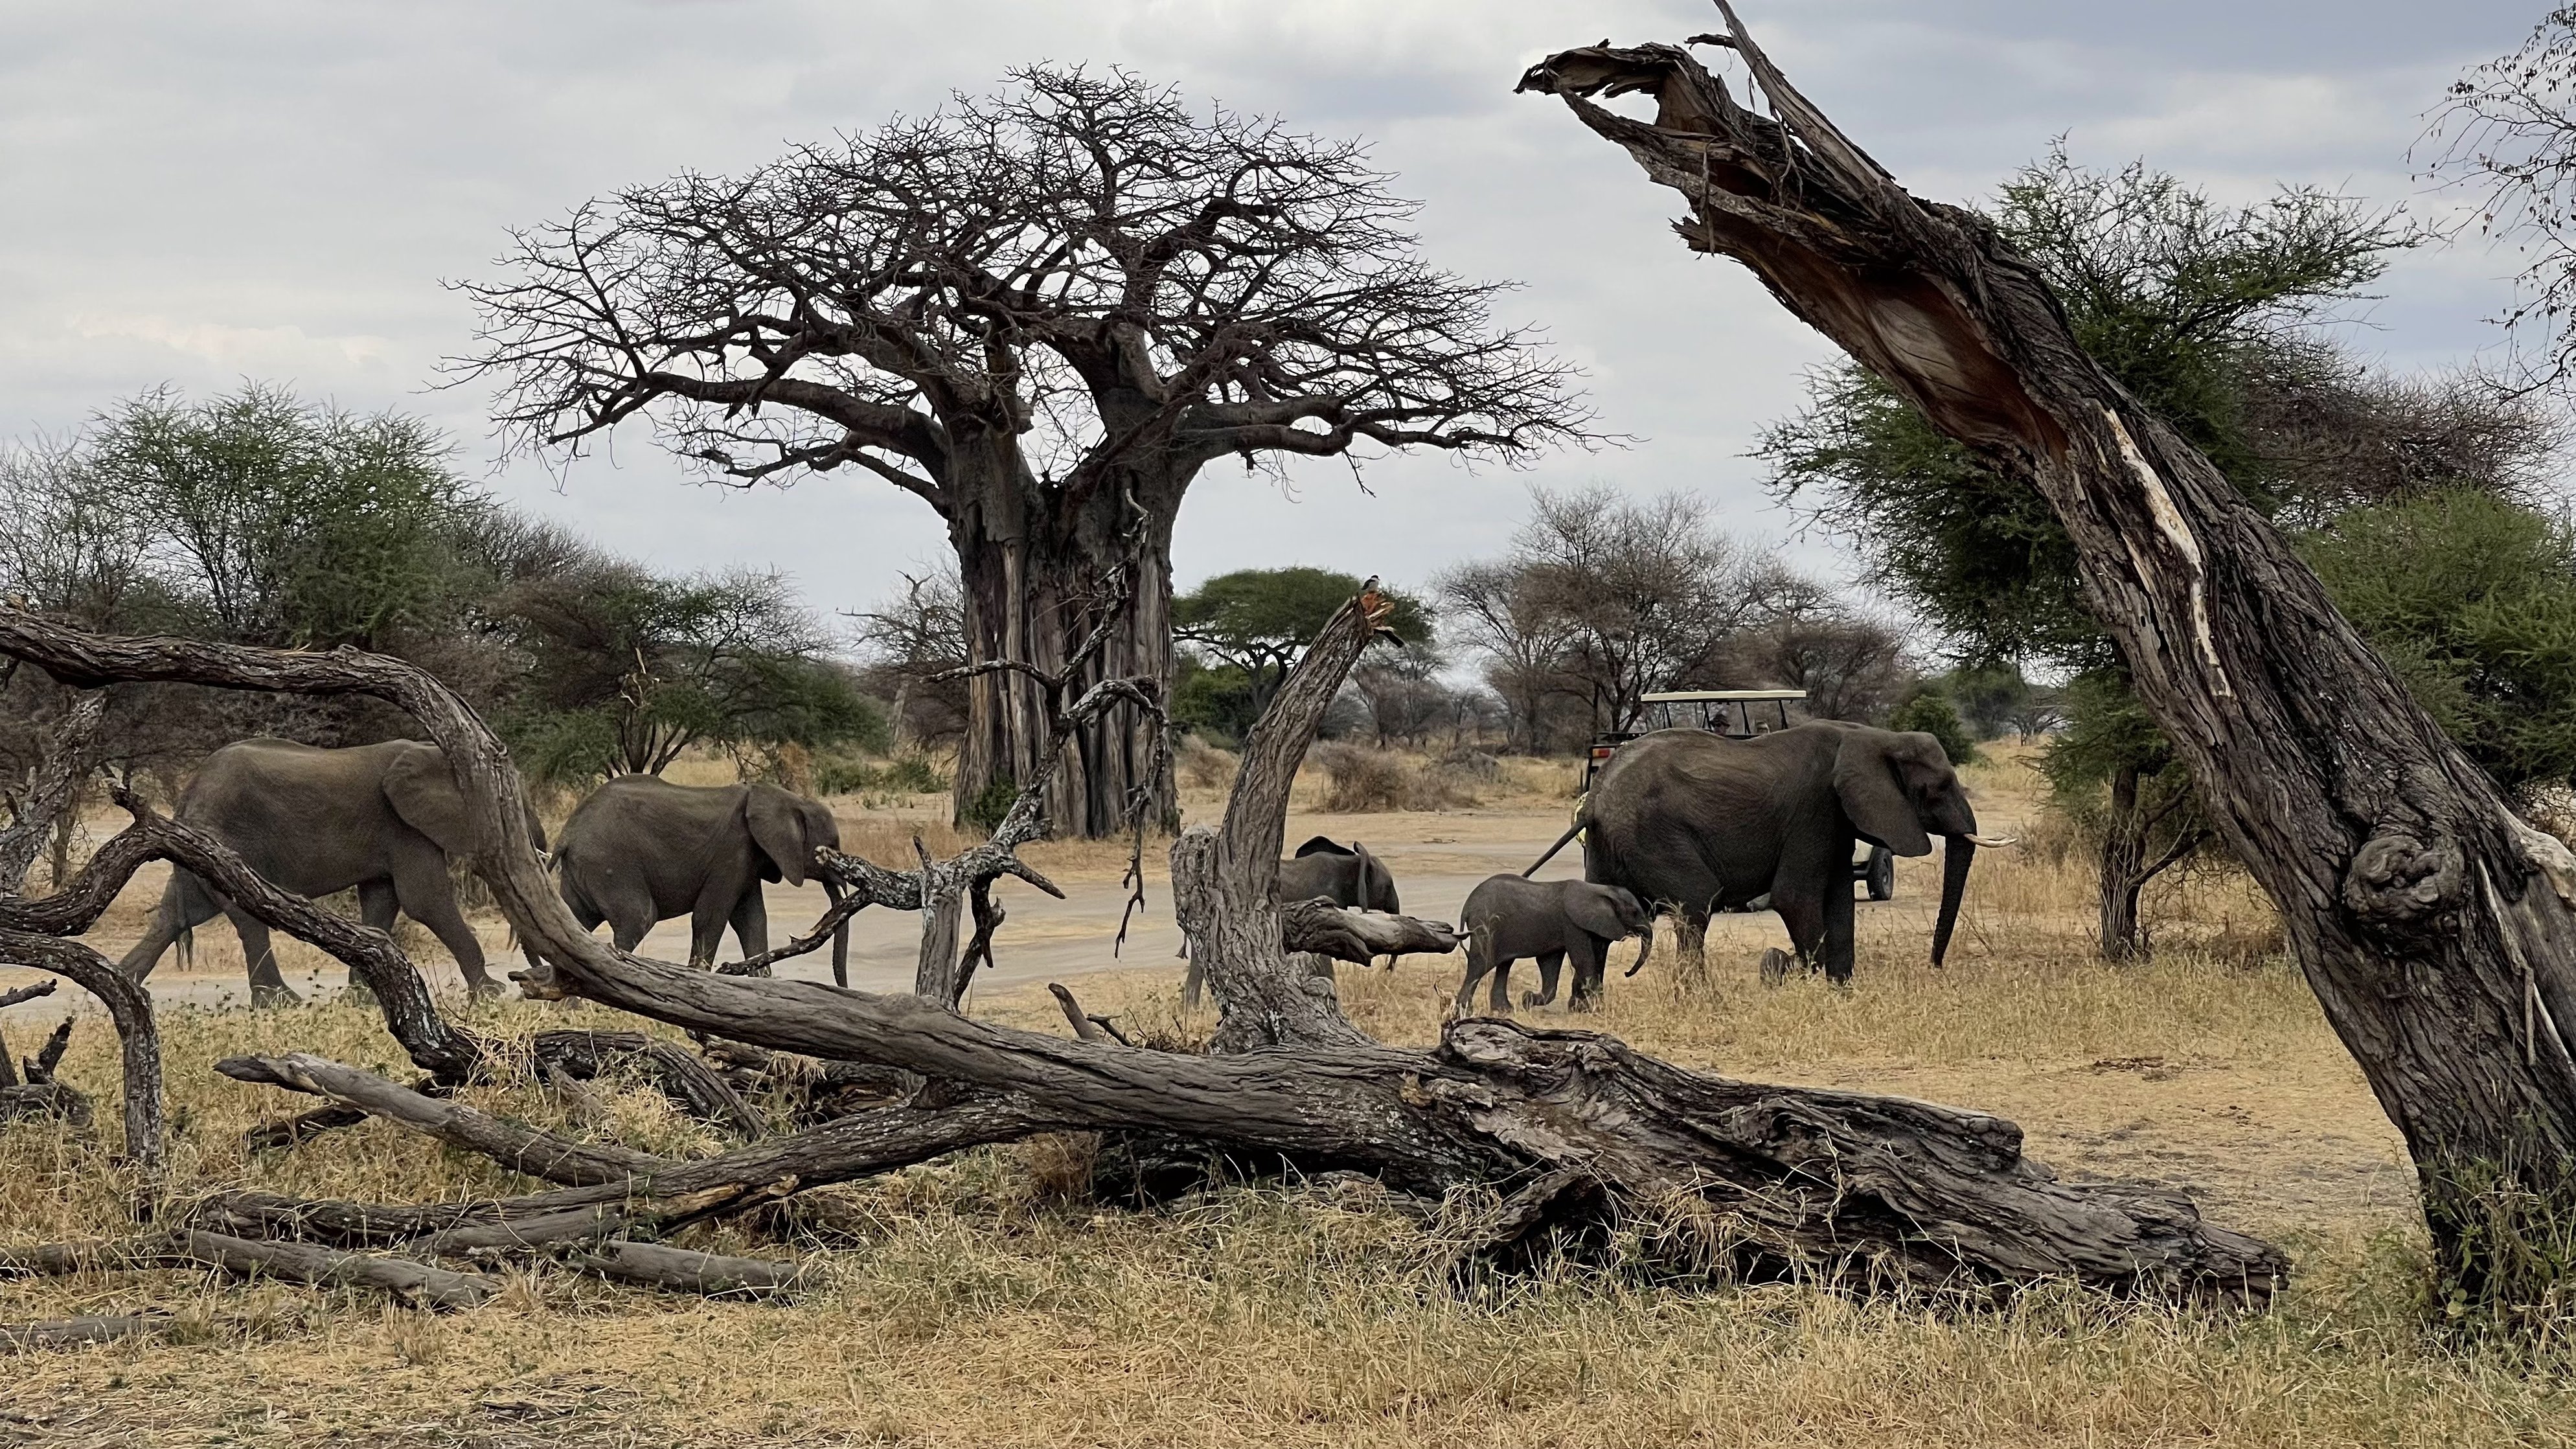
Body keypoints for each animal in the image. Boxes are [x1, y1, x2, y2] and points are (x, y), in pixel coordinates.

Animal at [116, 738, 545, 1005]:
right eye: (510, 803)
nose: (525, 979)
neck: (434, 750)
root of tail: (189, 793)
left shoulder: (392, 829)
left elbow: (382, 902)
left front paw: (363, 996)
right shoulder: (404, 825)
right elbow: (426, 900)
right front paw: (490, 993)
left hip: (200, 848)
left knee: (175, 916)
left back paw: (120, 987)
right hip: (225, 841)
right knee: (247, 916)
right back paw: (282, 1003)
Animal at [552, 775, 849, 984]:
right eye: (831, 849)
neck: (790, 800)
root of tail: (567, 834)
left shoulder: (748, 862)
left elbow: (752, 921)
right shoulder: (732, 851)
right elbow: (710, 917)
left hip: (584, 871)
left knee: (574, 923)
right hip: (610, 864)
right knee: (638, 919)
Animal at [1453, 875, 1652, 1016]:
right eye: (1634, 912)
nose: (1626, 973)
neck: (1599, 890)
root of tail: (1467, 908)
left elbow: (1549, 964)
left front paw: (1527, 1000)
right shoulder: (1572, 924)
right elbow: (1583, 961)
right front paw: (1599, 1010)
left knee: (1504, 965)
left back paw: (1504, 1011)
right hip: (1485, 927)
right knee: (1480, 965)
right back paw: (1464, 1013)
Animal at [1526, 721, 2011, 984]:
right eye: (1937, 788)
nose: (1934, 966)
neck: (1875, 736)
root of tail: (1595, 797)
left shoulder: (1834, 819)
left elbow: (1839, 900)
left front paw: (1839, 987)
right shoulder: (1814, 811)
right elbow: (1795, 898)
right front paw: (1795, 973)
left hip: (1609, 844)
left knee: (1599, 914)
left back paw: (1589, 1005)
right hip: (1654, 834)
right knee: (1696, 903)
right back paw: (1701, 998)